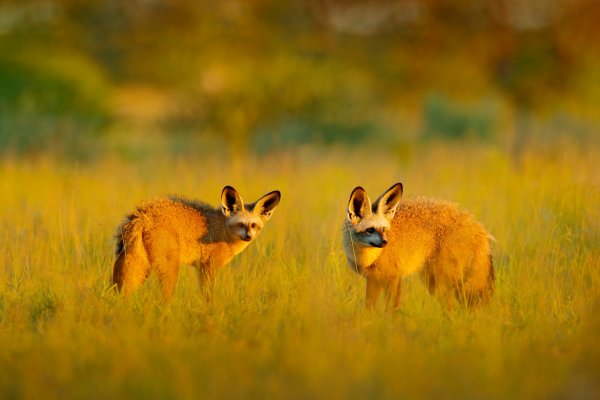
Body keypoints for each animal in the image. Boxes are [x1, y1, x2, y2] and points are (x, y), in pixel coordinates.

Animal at [113, 187, 282, 300]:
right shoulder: (208, 266)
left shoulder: (200, 268)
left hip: (140, 267)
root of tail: (143, 214)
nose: (248, 236)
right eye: (241, 224)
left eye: (254, 225)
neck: (223, 230)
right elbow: (208, 297)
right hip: (169, 269)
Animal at [344, 183, 494, 310]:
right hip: (437, 282)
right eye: (370, 230)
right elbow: (369, 308)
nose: (385, 242)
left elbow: (391, 310)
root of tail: (478, 227)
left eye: (384, 229)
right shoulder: (373, 280)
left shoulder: (393, 277)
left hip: (441, 282)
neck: (368, 259)